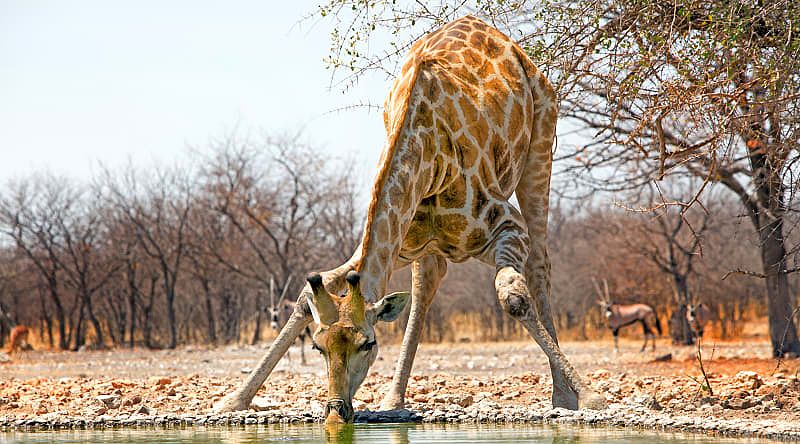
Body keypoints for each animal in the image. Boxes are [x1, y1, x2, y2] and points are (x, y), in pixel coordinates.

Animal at [216, 15, 604, 422]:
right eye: (319, 346)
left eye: (368, 344)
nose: (337, 411)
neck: (426, 155)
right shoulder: (397, 242)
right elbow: (309, 294)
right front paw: (233, 400)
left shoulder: (505, 226)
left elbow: (513, 297)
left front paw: (590, 397)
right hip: (426, 246)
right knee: (427, 283)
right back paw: (394, 399)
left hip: (541, 144)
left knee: (540, 264)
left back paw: (563, 395)